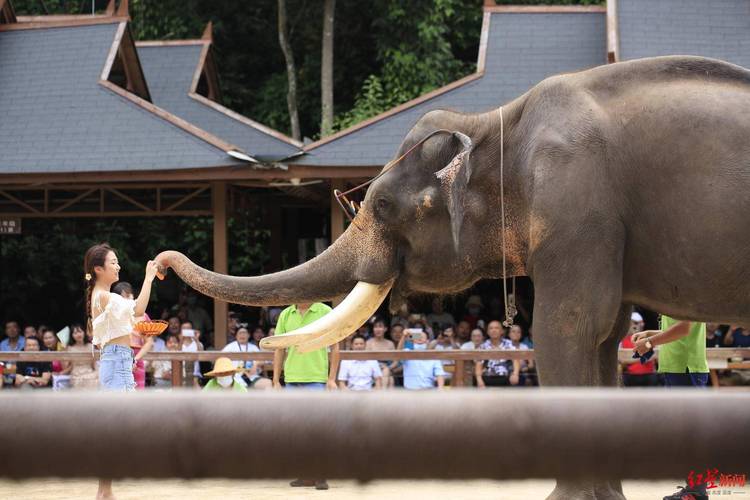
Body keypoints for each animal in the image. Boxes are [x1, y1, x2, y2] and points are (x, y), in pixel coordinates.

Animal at [155, 55, 750, 499]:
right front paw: (603, 497)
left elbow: (567, 329)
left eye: (384, 205)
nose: (159, 265)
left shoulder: (577, 208)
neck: (496, 122)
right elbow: (604, 339)